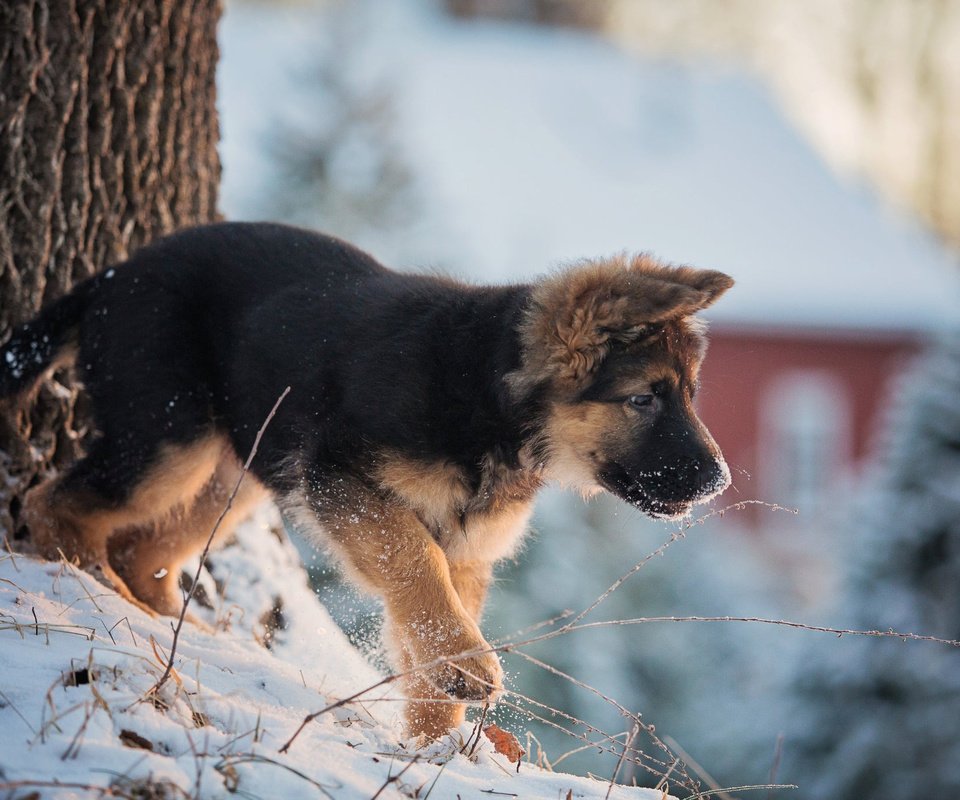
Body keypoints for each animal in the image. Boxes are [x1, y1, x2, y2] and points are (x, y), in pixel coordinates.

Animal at [1, 223, 736, 736]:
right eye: (643, 399)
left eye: (691, 395)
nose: (719, 485)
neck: (485, 396)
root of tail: (112, 274)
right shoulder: (342, 477)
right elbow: (415, 563)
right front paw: (467, 666)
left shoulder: (465, 547)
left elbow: (427, 618)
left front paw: (431, 745)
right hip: (169, 440)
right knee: (54, 502)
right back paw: (94, 588)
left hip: (237, 472)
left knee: (143, 545)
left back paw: (163, 620)